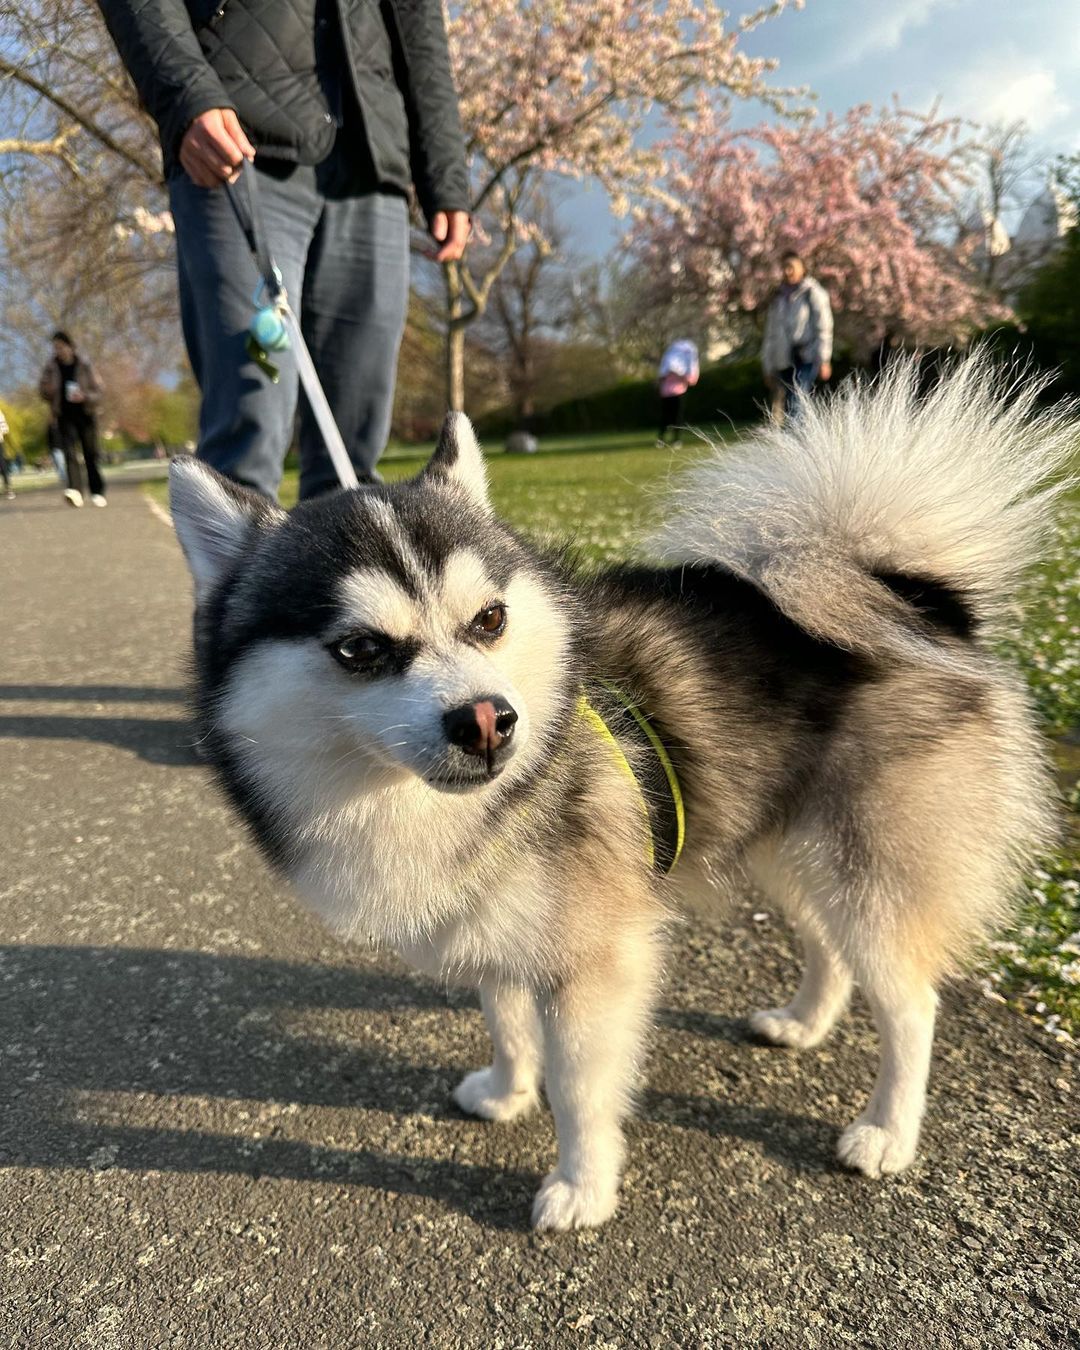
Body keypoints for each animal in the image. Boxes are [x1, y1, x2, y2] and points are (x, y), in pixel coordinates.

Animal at [172, 361, 1069, 1236]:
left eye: (488, 619)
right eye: (360, 649)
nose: (489, 721)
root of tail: (911, 596)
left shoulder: (596, 962)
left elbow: (579, 1090)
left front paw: (582, 1187)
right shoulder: (499, 923)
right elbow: (505, 1017)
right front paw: (507, 1090)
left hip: (869, 869)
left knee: (911, 1002)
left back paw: (887, 1131)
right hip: (786, 846)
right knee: (828, 944)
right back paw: (804, 1022)